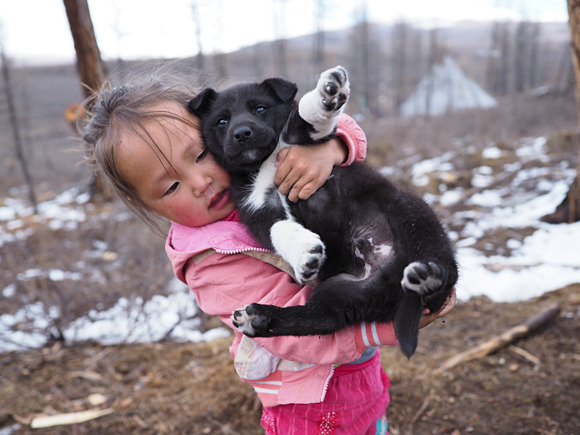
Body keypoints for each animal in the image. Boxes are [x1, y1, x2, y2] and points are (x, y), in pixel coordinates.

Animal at [189, 65, 458, 358]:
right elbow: (279, 228)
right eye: (221, 121)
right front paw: (305, 254)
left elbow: (304, 119)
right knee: (319, 318)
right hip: (342, 292)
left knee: (440, 267)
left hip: (410, 210)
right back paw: (259, 318)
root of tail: (391, 277)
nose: (242, 133)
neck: (262, 163)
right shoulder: (258, 210)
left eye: (260, 108)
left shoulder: (306, 141)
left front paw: (327, 93)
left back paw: (429, 277)